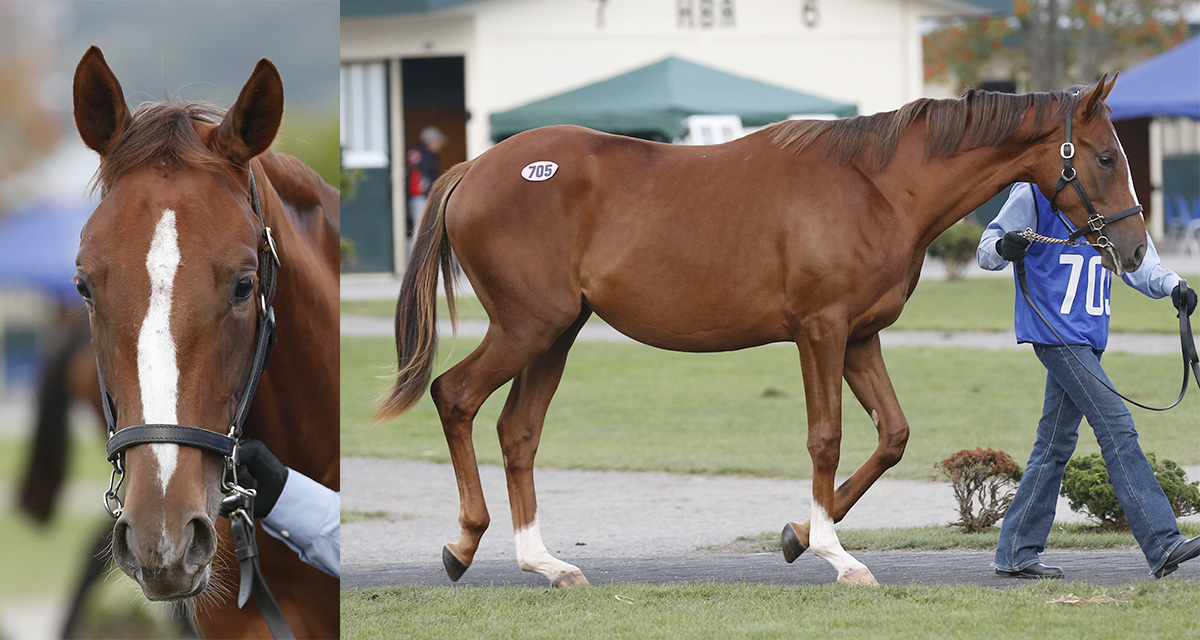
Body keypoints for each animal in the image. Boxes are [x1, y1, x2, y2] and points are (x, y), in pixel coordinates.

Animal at [378, 76, 1146, 587]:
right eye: (1107, 156)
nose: (1135, 252)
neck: (874, 187)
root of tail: (475, 167)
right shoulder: (820, 332)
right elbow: (825, 437)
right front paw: (836, 556)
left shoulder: (859, 338)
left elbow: (891, 436)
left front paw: (797, 536)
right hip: (526, 328)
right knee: (455, 396)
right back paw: (465, 545)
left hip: (556, 334)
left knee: (518, 431)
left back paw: (545, 563)